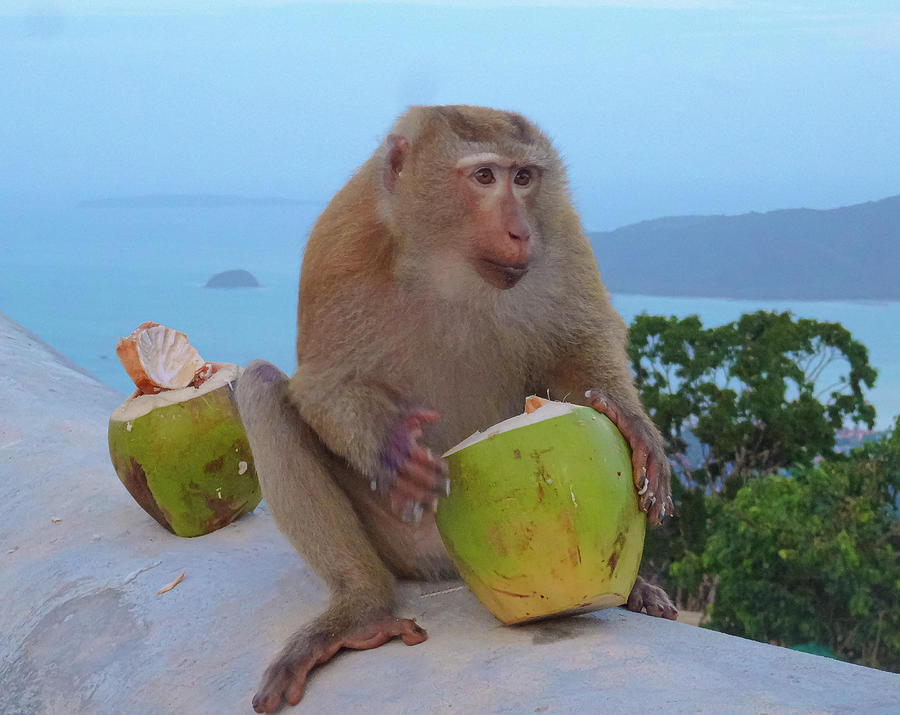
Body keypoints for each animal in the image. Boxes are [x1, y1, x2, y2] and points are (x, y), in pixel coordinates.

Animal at [235, 105, 676, 713]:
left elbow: (582, 337)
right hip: (403, 540)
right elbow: (322, 381)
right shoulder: (341, 236)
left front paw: (634, 426)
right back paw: (361, 608)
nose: (519, 231)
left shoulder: (559, 230)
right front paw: (391, 447)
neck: (448, 262)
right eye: (484, 176)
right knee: (259, 388)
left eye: (524, 177)